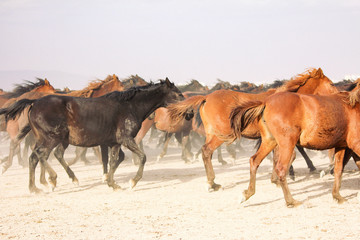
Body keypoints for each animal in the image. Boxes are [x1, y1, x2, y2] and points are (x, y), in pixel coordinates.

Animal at [1, 79, 184, 193]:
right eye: (177, 93)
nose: (185, 110)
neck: (130, 106)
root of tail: (34, 103)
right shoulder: (126, 139)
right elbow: (142, 157)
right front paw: (132, 182)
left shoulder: (114, 143)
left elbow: (114, 161)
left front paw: (112, 183)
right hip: (52, 138)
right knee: (40, 155)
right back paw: (51, 180)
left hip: (49, 139)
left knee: (35, 157)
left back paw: (37, 187)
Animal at [168, 68, 338, 191]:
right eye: (331, 84)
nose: (340, 97)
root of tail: (206, 97)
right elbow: (288, 156)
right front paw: (282, 178)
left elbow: (280, 157)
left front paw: (277, 178)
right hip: (221, 135)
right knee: (207, 150)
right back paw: (212, 183)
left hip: (212, 134)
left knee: (205, 152)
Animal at [229, 77, 360, 206]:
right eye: (331, 84)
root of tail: (265, 103)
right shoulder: (355, 144)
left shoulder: (342, 145)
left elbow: (339, 169)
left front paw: (337, 196)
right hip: (287, 143)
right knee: (281, 167)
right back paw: (290, 201)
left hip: (270, 141)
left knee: (254, 161)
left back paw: (247, 194)